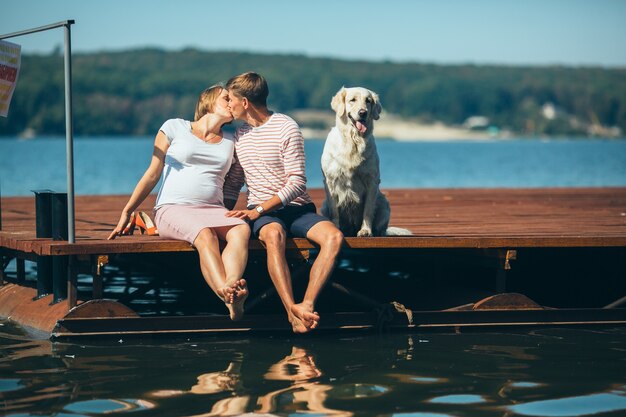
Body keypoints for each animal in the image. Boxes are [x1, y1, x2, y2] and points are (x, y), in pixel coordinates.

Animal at [322, 87, 410, 237]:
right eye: (352, 100)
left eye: (368, 101)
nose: (363, 112)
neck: (354, 141)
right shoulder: (331, 180)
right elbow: (334, 211)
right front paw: (335, 227)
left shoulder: (372, 181)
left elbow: (368, 210)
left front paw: (365, 230)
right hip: (324, 206)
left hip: (384, 203)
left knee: (382, 227)